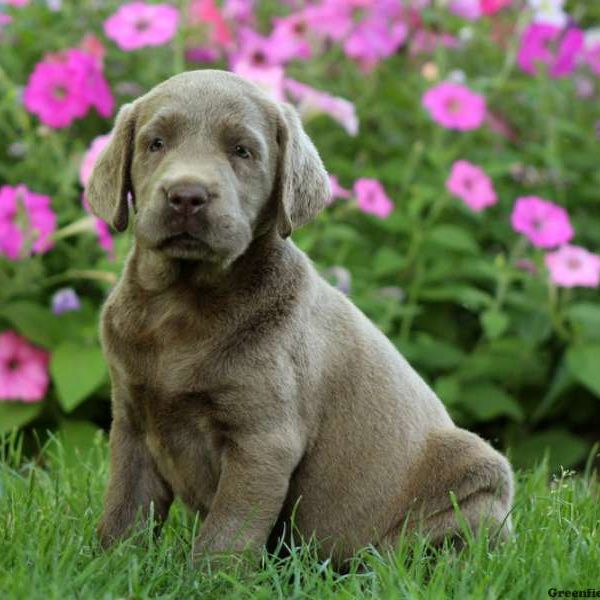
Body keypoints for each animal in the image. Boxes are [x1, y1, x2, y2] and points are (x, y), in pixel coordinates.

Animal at [86, 70, 512, 568]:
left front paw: (210, 577)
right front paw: (108, 564)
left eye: (242, 151)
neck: (181, 301)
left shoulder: (263, 439)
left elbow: (228, 528)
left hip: (472, 475)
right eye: (155, 143)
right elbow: (125, 506)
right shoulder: (132, 418)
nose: (186, 195)